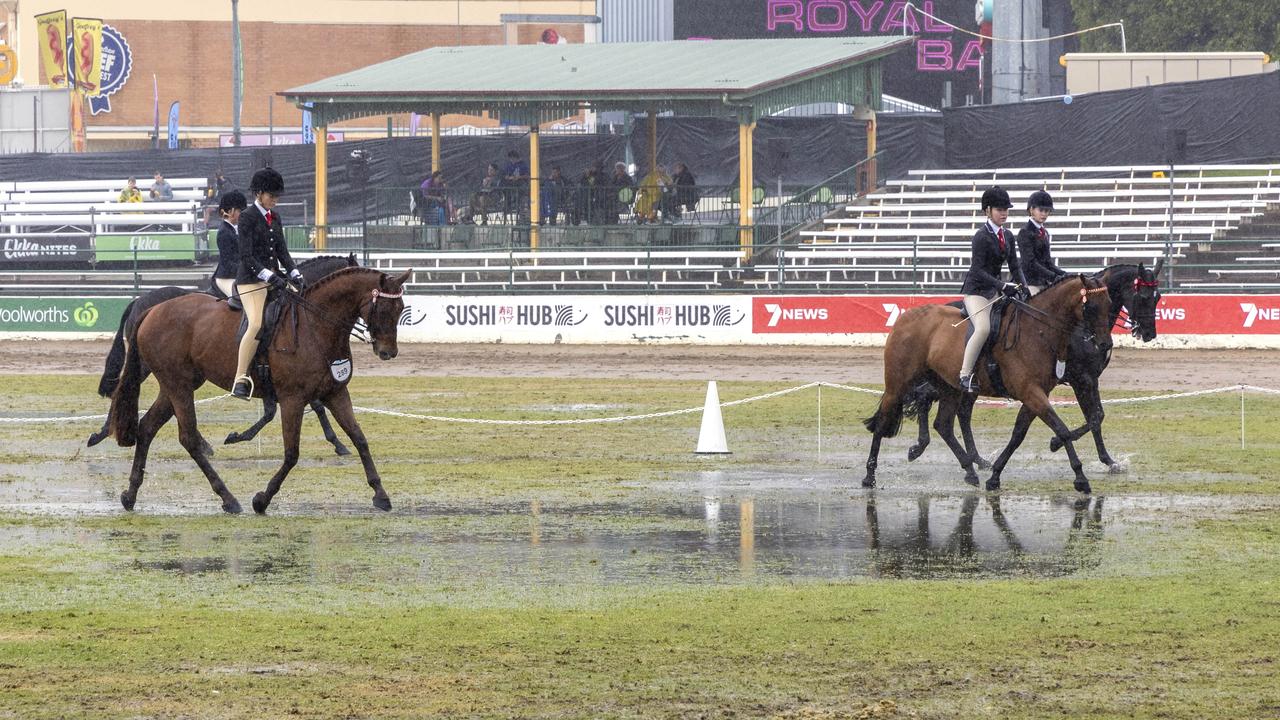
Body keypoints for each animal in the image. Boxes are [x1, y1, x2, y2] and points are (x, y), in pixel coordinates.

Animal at [85, 252, 358, 453]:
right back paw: (102, 434)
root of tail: (140, 302)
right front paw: (338, 443)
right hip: (146, 364)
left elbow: (282, 409)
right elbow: (314, 406)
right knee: (123, 388)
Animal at [110, 266, 412, 512]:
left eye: (401, 309)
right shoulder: (292, 398)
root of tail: (151, 309)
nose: (388, 352)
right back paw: (228, 499)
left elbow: (360, 439)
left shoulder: (335, 393)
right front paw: (262, 500)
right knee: (188, 438)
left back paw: (130, 495)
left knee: (147, 427)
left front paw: (380, 494)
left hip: (176, 385)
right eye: (383, 309)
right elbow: (292, 453)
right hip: (179, 386)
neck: (316, 326)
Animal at [865, 274, 1116, 491]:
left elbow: (1018, 435)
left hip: (950, 388)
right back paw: (870, 476)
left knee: (943, 424)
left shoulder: (1036, 394)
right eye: (1091, 307)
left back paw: (969, 470)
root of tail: (906, 316)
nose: (1105, 345)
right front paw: (1080, 477)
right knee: (883, 422)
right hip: (898, 384)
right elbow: (1062, 429)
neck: (1037, 331)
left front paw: (995, 476)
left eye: (1110, 303)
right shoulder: (1034, 392)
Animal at [901, 257, 1162, 471]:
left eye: (1158, 297)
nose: (1149, 333)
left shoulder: (1090, 378)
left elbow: (1097, 416)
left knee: (959, 412)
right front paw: (1057, 442)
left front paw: (1108, 460)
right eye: (1143, 297)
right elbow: (1095, 417)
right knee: (926, 398)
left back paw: (974, 458)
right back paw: (921, 447)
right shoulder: (1081, 378)